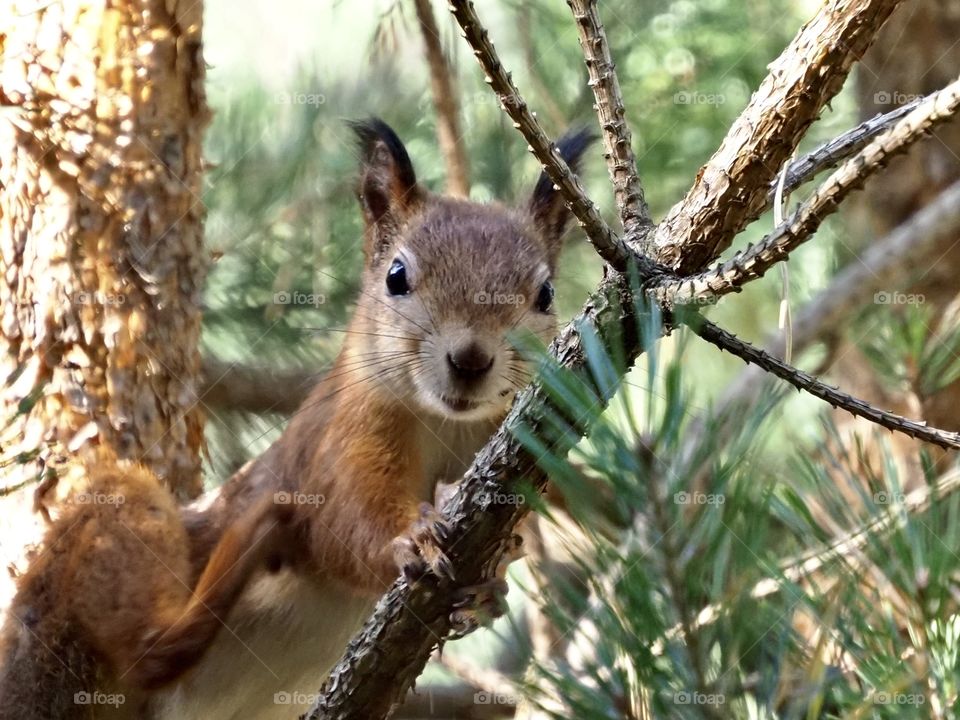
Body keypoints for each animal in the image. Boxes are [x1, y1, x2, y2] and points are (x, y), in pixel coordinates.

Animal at [0, 119, 593, 719]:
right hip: (112, 527)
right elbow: (342, 525)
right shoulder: (335, 442)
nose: (470, 360)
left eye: (546, 294)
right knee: (149, 649)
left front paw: (488, 596)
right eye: (396, 277)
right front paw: (412, 540)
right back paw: (255, 534)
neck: (449, 425)